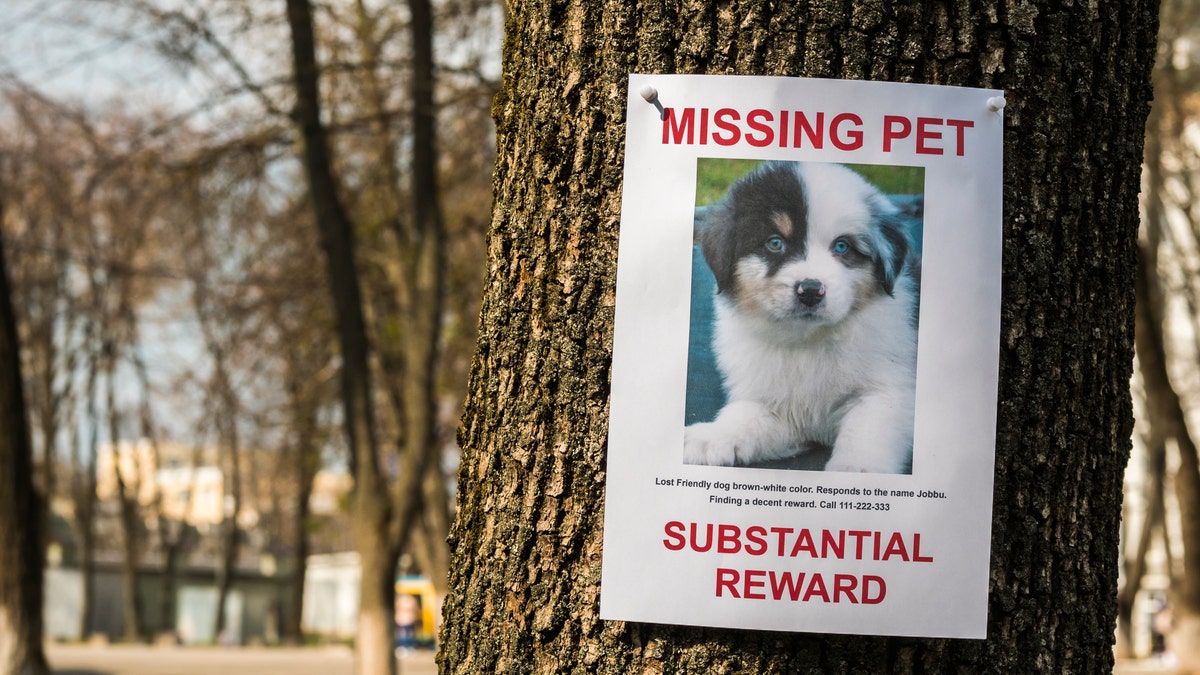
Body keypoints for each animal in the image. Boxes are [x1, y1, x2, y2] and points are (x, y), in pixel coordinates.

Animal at [686, 159, 916, 470]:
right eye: (775, 243)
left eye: (842, 246)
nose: (810, 291)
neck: (808, 341)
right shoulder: (780, 410)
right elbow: (744, 416)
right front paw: (709, 438)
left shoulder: (888, 390)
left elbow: (865, 433)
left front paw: (852, 470)